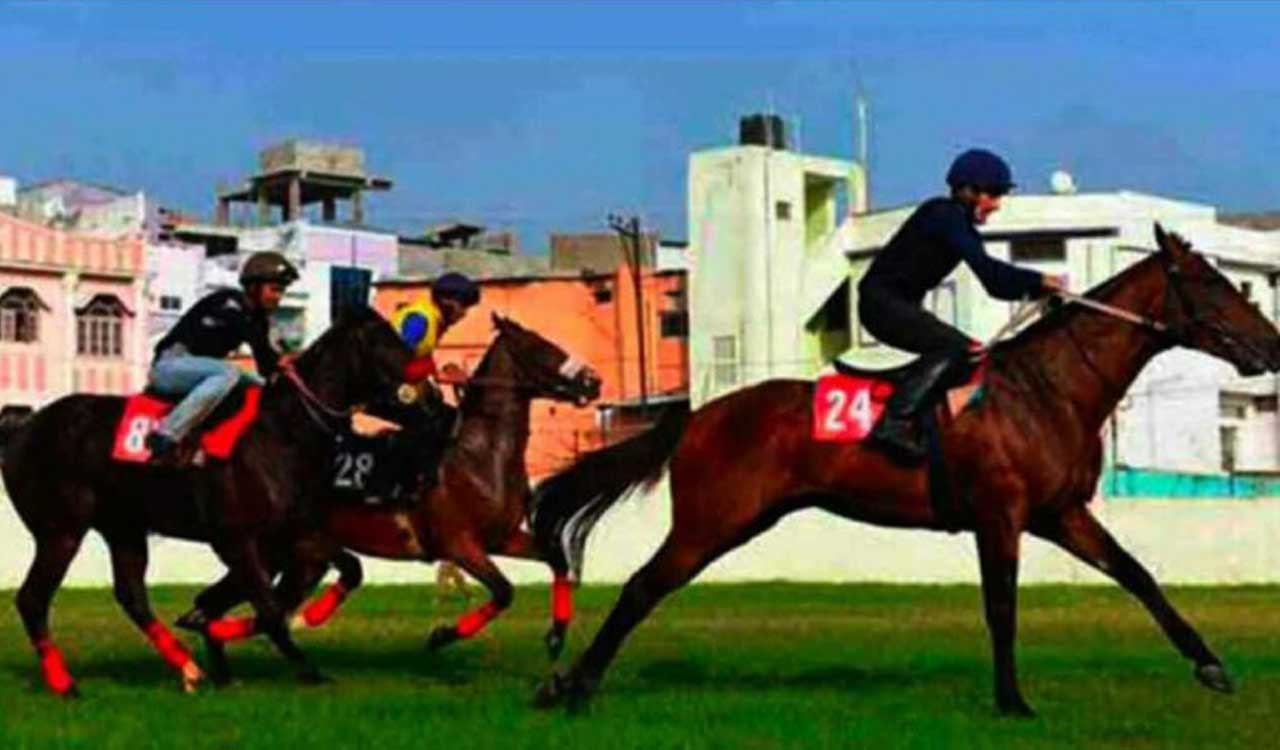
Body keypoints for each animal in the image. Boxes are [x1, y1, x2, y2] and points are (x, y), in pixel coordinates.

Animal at [0, 304, 409, 696]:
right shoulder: (236, 538)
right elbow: (269, 609)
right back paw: (65, 684)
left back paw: (189, 669)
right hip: (61, 530)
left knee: (132, 595)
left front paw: (301, 621)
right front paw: (308, 669)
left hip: (124, 528)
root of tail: (22, 429)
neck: (281, 432)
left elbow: (348, 569)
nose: (418, 383)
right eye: (383, 338)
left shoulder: (294, 531)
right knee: (33, 599)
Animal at [172, 314, 602, 682]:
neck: (478, 455)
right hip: (278, 550)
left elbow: (556, 558)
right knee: (241, 608)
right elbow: (503, 591)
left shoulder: (503, 537)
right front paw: (441, 635)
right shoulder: (460, 545)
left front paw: (556, 636)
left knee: (227, 605)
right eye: (541, 347)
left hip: (291, 557)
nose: (592, 381)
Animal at [530, 225, 1280, 716]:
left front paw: (1210, 664)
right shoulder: (1000, 516)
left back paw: (568, 684)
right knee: (640, 588)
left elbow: (1136, 574)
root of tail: (700, 414)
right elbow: (1001, 606)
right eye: (1211, 283)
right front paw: (1012, 701)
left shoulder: (1060, 513)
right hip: (713, 521)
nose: (1271, 345)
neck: (1048, 388)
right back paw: (572, 688)